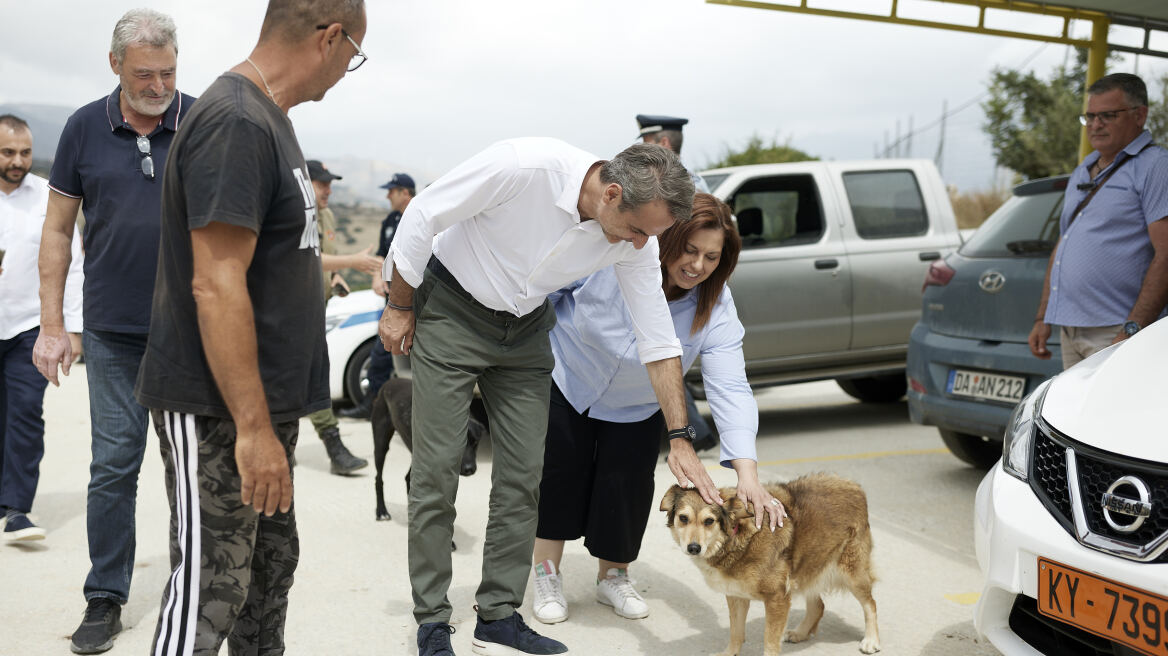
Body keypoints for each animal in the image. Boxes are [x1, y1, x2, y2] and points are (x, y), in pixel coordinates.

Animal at [369, 378, 488, 520]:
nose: (470, 469)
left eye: (475, 442)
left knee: (407, 478)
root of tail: (389, 382)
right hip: (381, 445)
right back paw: (381, 511)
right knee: (379, 479)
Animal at [663, 471, 878, 648]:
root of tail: (853, 485)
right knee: (818, 605)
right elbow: (736, 634)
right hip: (807, 567)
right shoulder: (736, 595)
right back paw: (800, 633)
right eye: (683, 518)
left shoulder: (777, 598)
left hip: (852, 573)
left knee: (870, 604)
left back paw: (871, 640)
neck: (736, 538)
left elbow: (770, 642)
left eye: (709, 521)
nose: (693, 548)